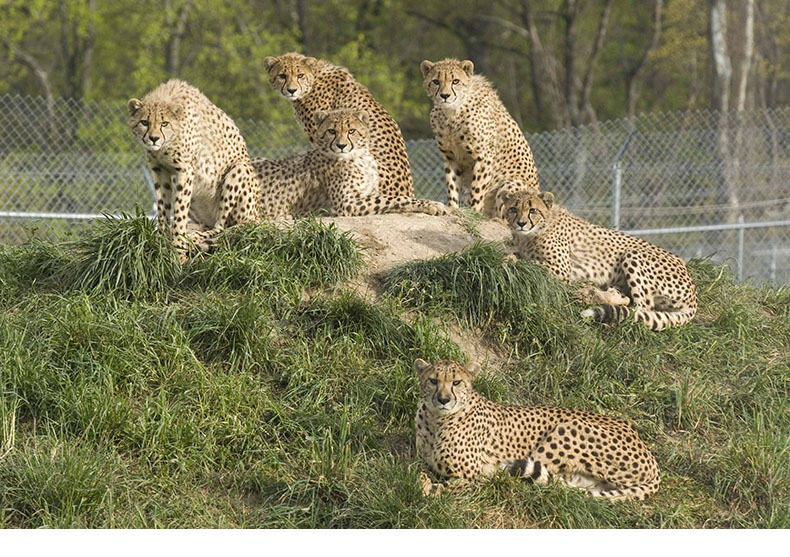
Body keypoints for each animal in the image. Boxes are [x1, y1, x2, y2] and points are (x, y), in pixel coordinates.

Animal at [127, 79, 260, 261]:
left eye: (164, 123)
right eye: (144, 122)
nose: (153, 138)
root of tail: (257, 215)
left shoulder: (185, 171)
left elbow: (179, 213)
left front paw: (178, 249)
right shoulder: (160, 170)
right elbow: (162, 208)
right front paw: (159, 240)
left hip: (239, 169)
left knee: (222, 226)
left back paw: (194, 238)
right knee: (211, 225)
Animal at [254, 108, 448, 218]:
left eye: (351, 131)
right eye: (331, 131)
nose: (341, 145)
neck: (361, 157)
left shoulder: (367, 194)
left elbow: (392, 199)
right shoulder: (346, 203)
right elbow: (396, 199)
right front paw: (432, 205)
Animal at [414, 358, 660, 502]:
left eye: (456, 382)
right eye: (433, 380)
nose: (443, 399)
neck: (437, 421)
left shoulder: (471, 475)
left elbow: (452, 487)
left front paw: (430, 489)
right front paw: (423, 482)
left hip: (565, 429)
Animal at [420, 59, 540, 218]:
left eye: (455, 81)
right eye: (435, 81)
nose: (445, 96)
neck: (452, 113)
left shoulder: (484, 157)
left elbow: (477, 189)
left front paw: (474, 212)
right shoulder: (451, 158)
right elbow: (452, 186)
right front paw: (453, 208)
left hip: (511, 183)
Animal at [503, 189, 698, 331]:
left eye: (533, 210)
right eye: (513, 209)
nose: (521, 223)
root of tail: (694, 294)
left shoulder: (561, 270)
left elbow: (529, 263)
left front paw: (512, 259)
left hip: (633, 253)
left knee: (640, 308)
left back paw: (590, 296)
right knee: (626, 298)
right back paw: (591, 292)